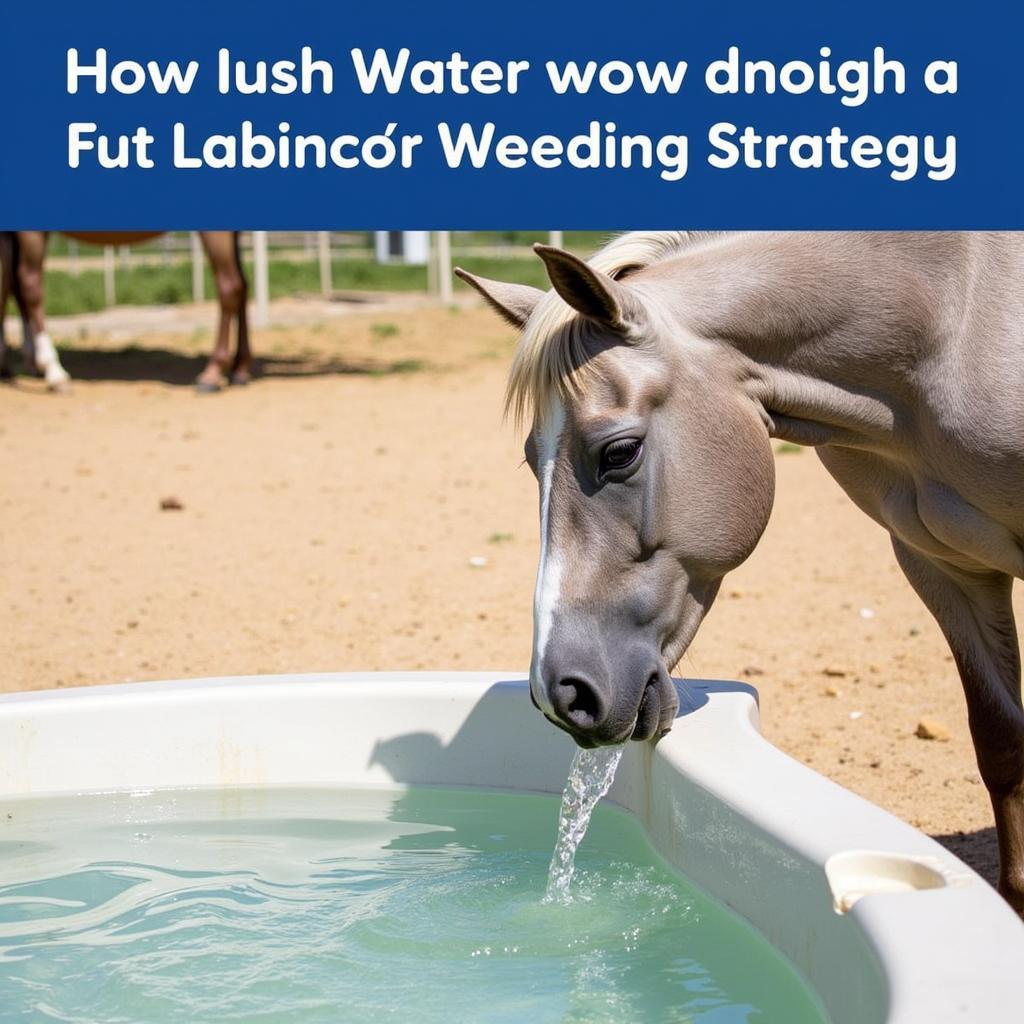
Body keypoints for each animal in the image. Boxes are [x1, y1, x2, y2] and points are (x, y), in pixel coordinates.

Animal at [1, 233, 252, 391]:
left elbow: (28, 287)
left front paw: (52, 371)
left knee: (230, 285)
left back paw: (213, 374)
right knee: (239, 284)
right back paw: (237, 369)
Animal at [456, 235, 1024, 917]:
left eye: (619, 452)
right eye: (529, 460)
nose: (560, 693)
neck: (951, 321)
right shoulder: (943, 568)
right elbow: (1002, 743)